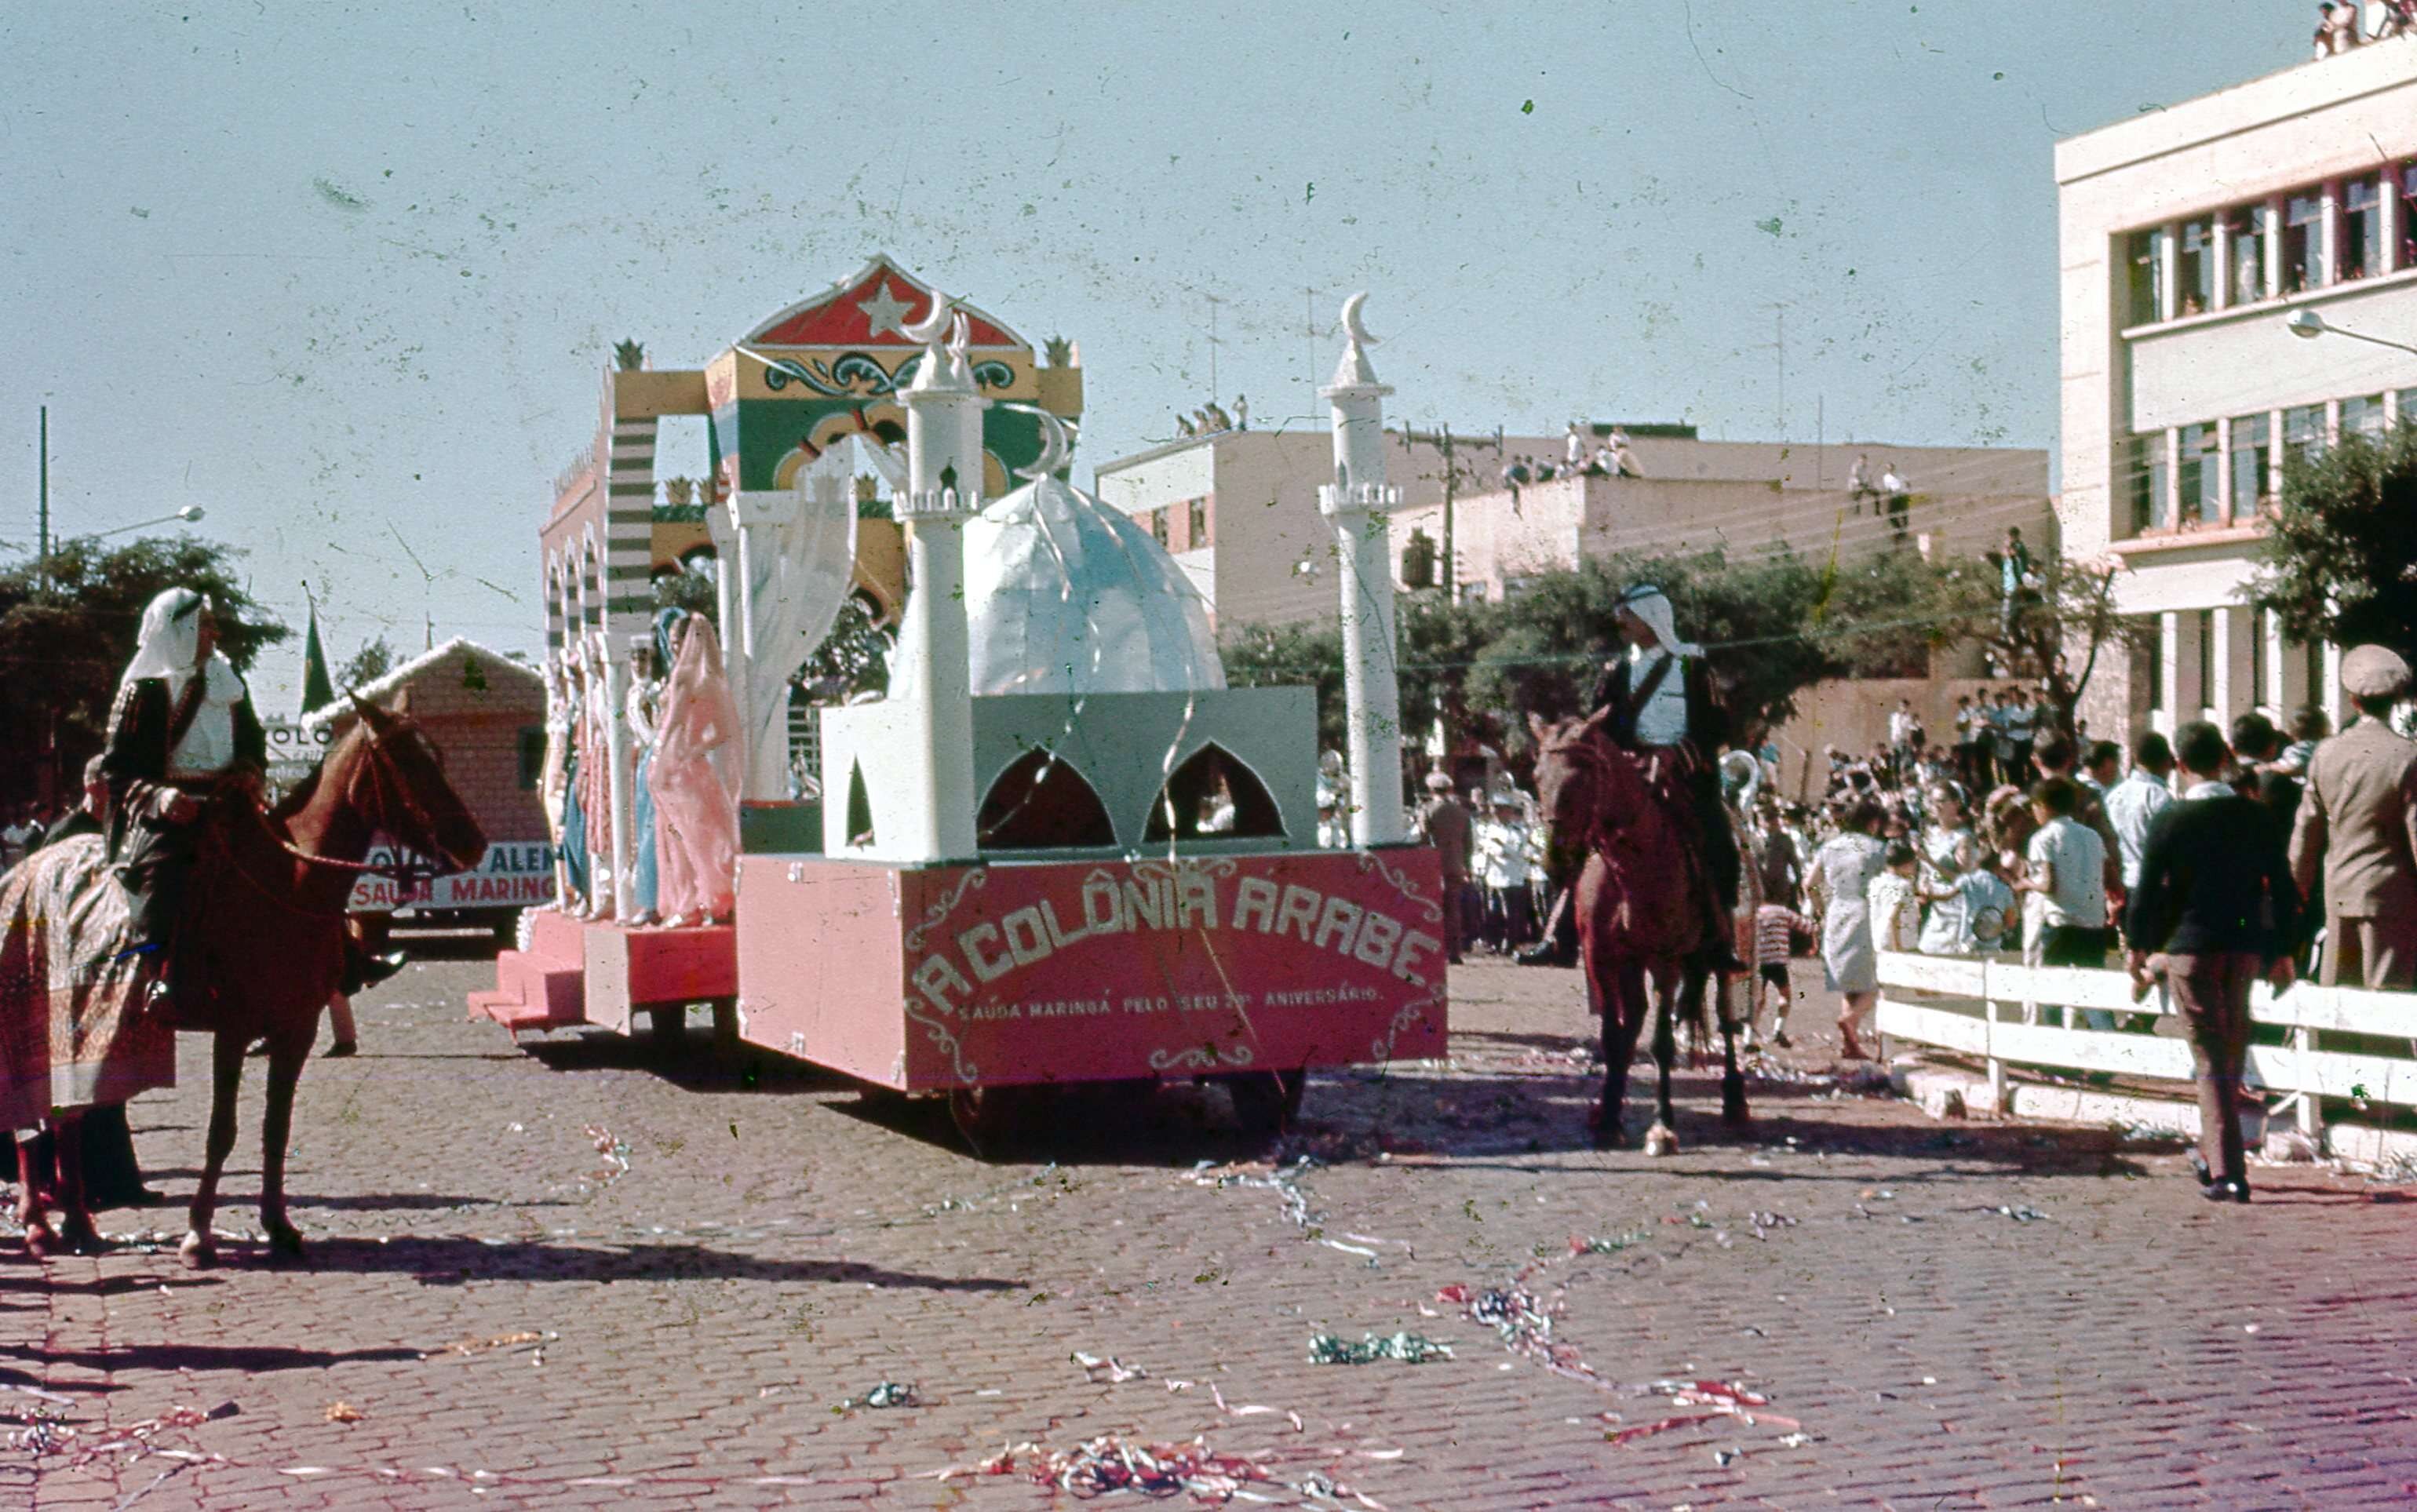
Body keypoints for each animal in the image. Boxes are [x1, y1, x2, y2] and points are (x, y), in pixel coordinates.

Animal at [8, 700, 480, 1266]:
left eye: (439, 756)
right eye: (408, 761)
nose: (474, 844)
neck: (285, 886)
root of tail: (29, 866)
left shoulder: (295, 1031)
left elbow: (275, 1128)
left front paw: (278, 1226)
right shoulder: (233, 1031)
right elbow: (222, 1131)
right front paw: (198, 1234)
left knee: (64, 1116)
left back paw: (75, 1222)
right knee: (35, 1119)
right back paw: (38, 1224)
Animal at [1537, 710, 1749, 1149]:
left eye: (1583, 776)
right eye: (1536, 774)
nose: (1556, 857)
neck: (1630, 866)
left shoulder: (1664, 960)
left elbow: (1662, 1043)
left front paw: (1662, 1126)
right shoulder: (1601, 956)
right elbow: (1612, 1035)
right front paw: (1607, 1118)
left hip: (1712, 956)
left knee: (1725, 1016)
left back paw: (1735, 1098)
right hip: (1633, 963)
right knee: (1633, 1018)